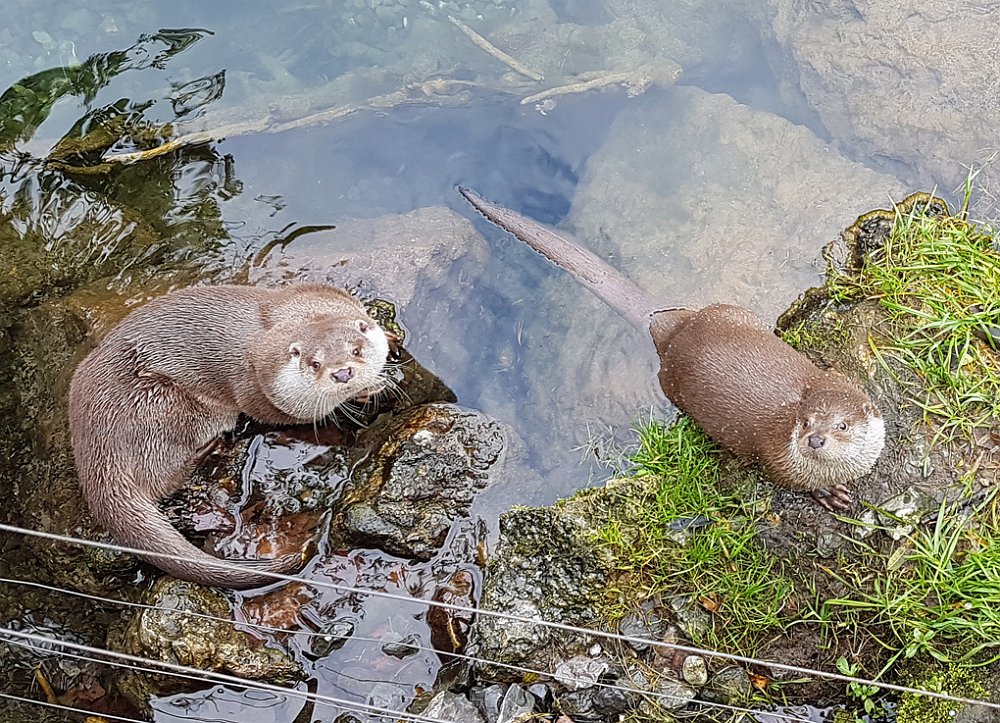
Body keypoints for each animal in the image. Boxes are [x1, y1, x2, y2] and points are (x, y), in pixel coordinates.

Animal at [68, 282, 390, 588]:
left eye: (356, 350)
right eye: (315, 364)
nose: (342, 373)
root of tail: (95, 439)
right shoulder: (259, 392)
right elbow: (289, 416)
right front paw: (364, 392)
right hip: (161, 408)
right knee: (162, 476)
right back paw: (211, 447)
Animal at [458, 189, 884, 512]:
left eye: (842, 425)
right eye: (807, 423)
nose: (816, 440)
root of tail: (671, 326)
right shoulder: (777, 459)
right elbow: (790, 481)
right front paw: (828, 493)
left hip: (728, 310)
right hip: (671, 383)